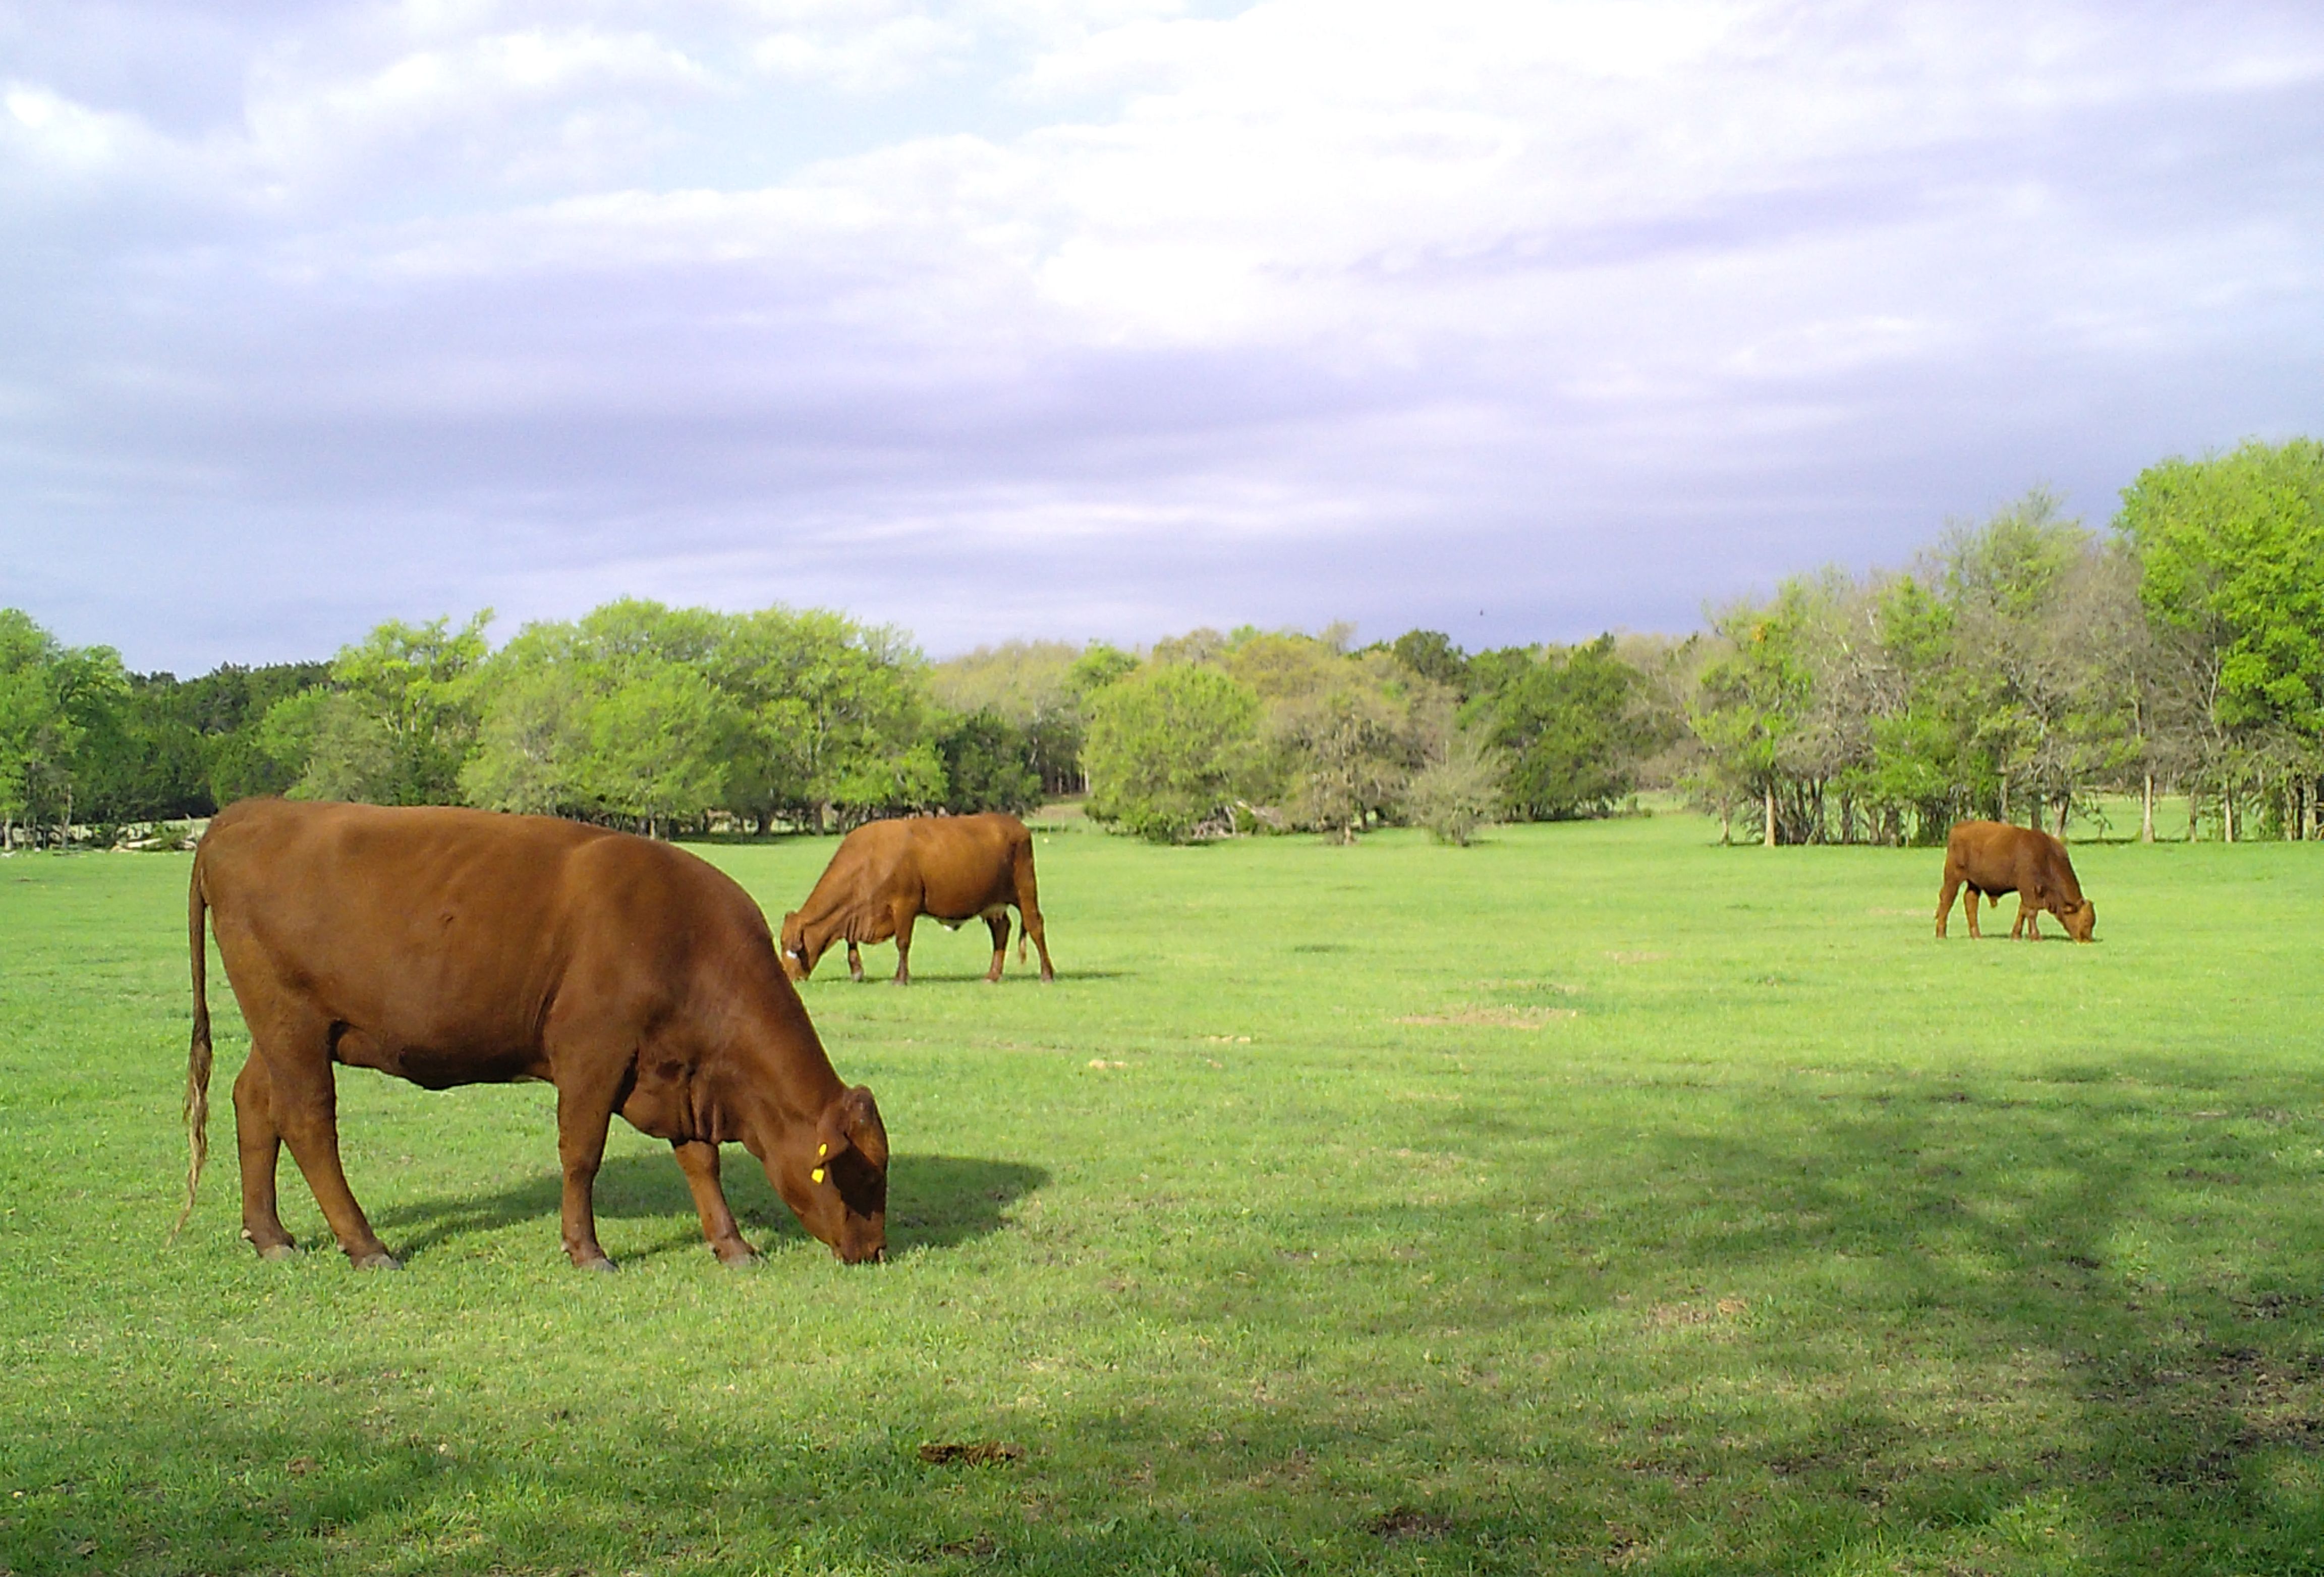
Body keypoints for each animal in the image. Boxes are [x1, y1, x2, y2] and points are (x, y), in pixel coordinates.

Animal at [177, 803, 887, 1272]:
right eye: (861, 1171)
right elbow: (581, 1155)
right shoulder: (592, 1056)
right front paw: (587, 1250)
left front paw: (732, 1245)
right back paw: (366, 1245)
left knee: (255, 1103)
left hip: (282, 1029)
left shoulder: (681, 1072)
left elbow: (699, 1161)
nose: (875, 1250)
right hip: (292, 1024)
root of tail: (249, 813)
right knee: (308, 1123)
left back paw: (269, 1234)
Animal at [780, 813, 1055, 985]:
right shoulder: (858, 912)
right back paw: (993, 975)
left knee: (1035, 925)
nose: (789, 977)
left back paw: (1047, 974)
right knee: (1001, 931)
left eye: (787, 945)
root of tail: (1014, 824)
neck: (869, 861)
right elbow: (851, 941)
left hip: (1025, 890)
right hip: (992, 906)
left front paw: (900, 979)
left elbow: (902, 943)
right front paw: (857, 972)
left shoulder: (904, 905)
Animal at [1934, 822, 2101, 943]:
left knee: (1971, 902)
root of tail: (1959, 827)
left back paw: (1977, 935)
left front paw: (2016, 936)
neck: (2046, 855)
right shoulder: (2028, 888)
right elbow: (2031, 912)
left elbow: (2023, 911)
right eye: (2086, 920)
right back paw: (1941, 934)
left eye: (2093, 921)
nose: (2087, 940)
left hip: (1974, 884)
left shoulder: (2029, 892)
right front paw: (2036, 937)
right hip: (1953, 878)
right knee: (1947, 900)